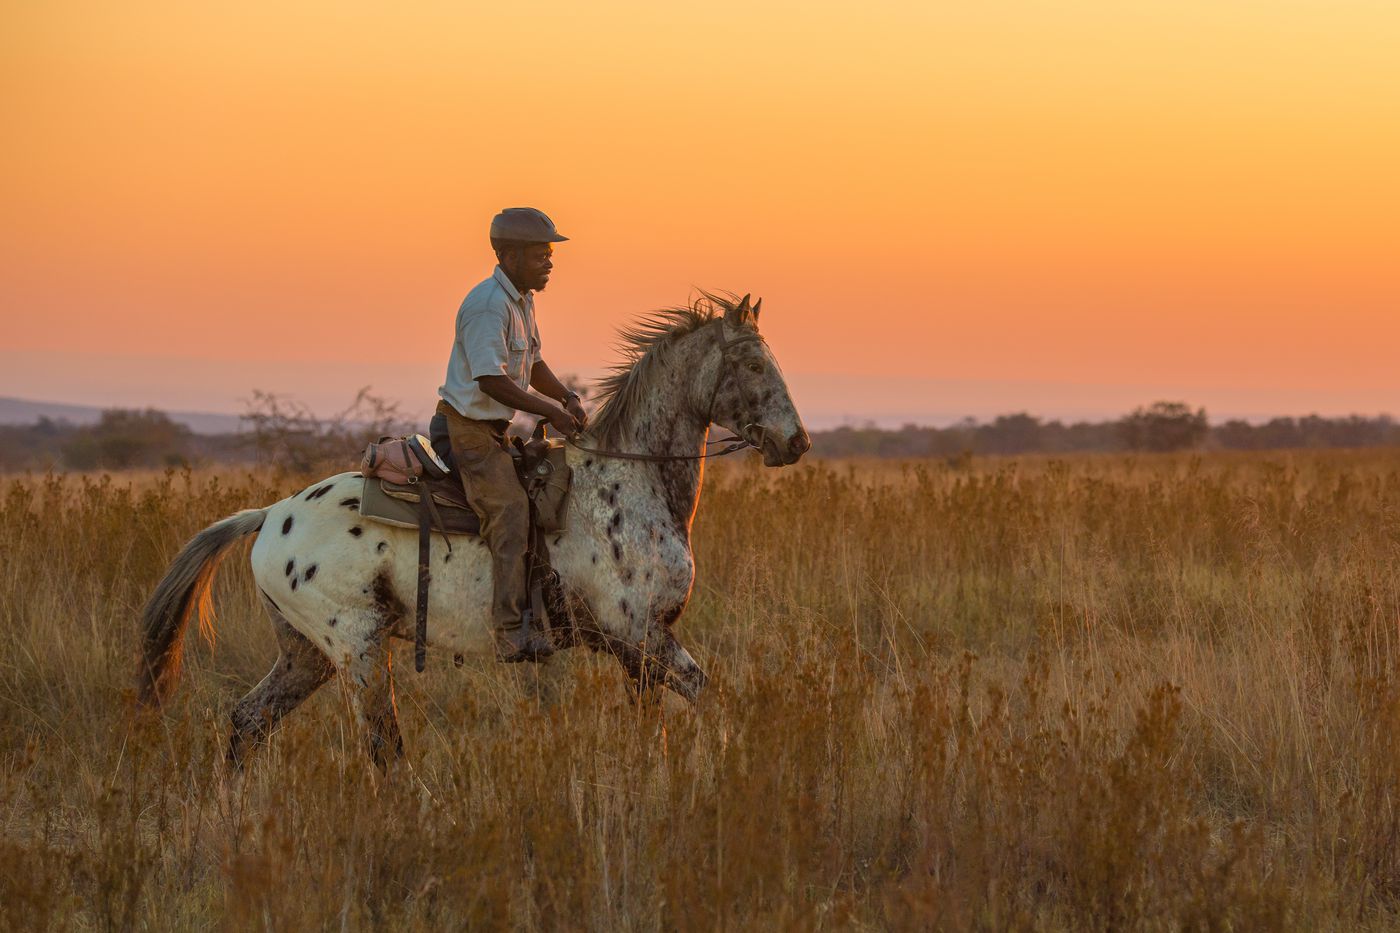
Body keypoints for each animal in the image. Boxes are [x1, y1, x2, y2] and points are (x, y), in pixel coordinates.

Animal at [137, 294, 812, 767]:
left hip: (304, 655)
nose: (796, 442)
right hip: (357, 648)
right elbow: (709, 696)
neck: (630, 482)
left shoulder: (638, 650)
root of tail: (272, 515)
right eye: (754, 363)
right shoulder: (641, 636)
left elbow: (660, 729)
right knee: (381, 747)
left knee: (247, 724)